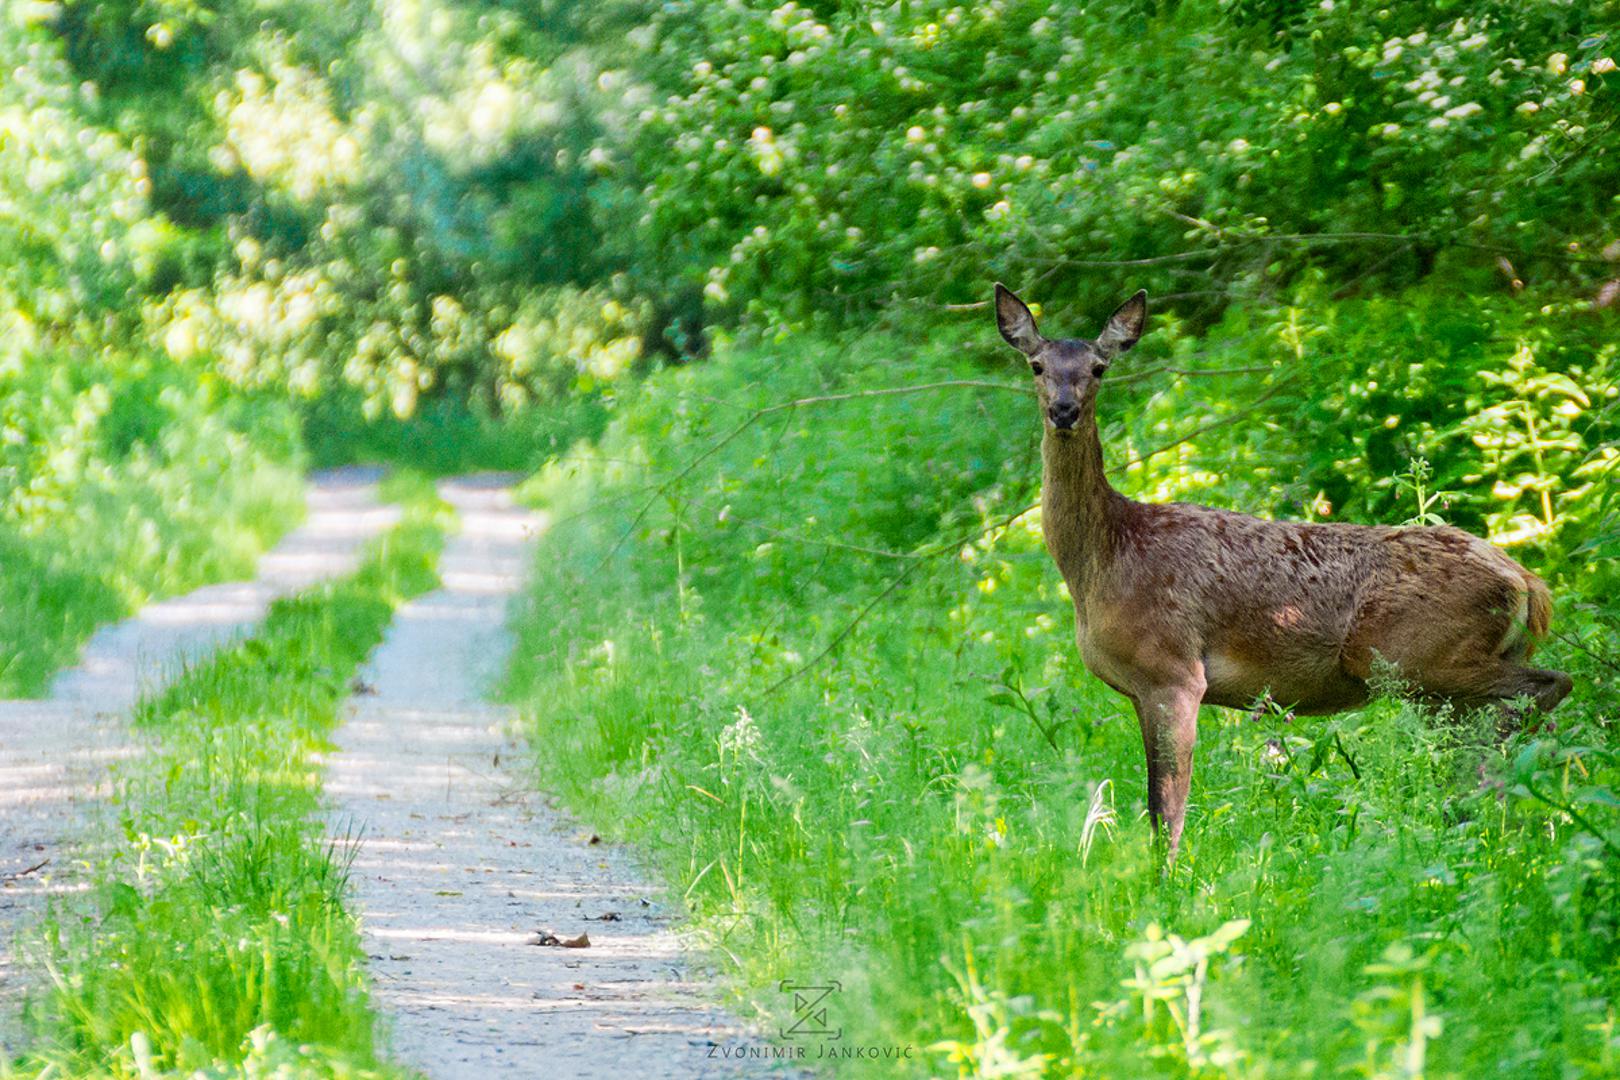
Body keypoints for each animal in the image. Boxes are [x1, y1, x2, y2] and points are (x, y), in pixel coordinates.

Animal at [991, 283, 1574, 854]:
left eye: (1098, 368)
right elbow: (1154, 807)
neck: (1105, 559)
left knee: (1549, 685)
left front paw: (1171, 880)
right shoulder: (1141, 688)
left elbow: (1166, 813)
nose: (1064, 410)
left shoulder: (1174, 670)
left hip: (1416, 656)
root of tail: (1528, 584)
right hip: (1436, 683)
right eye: (1037, 366)